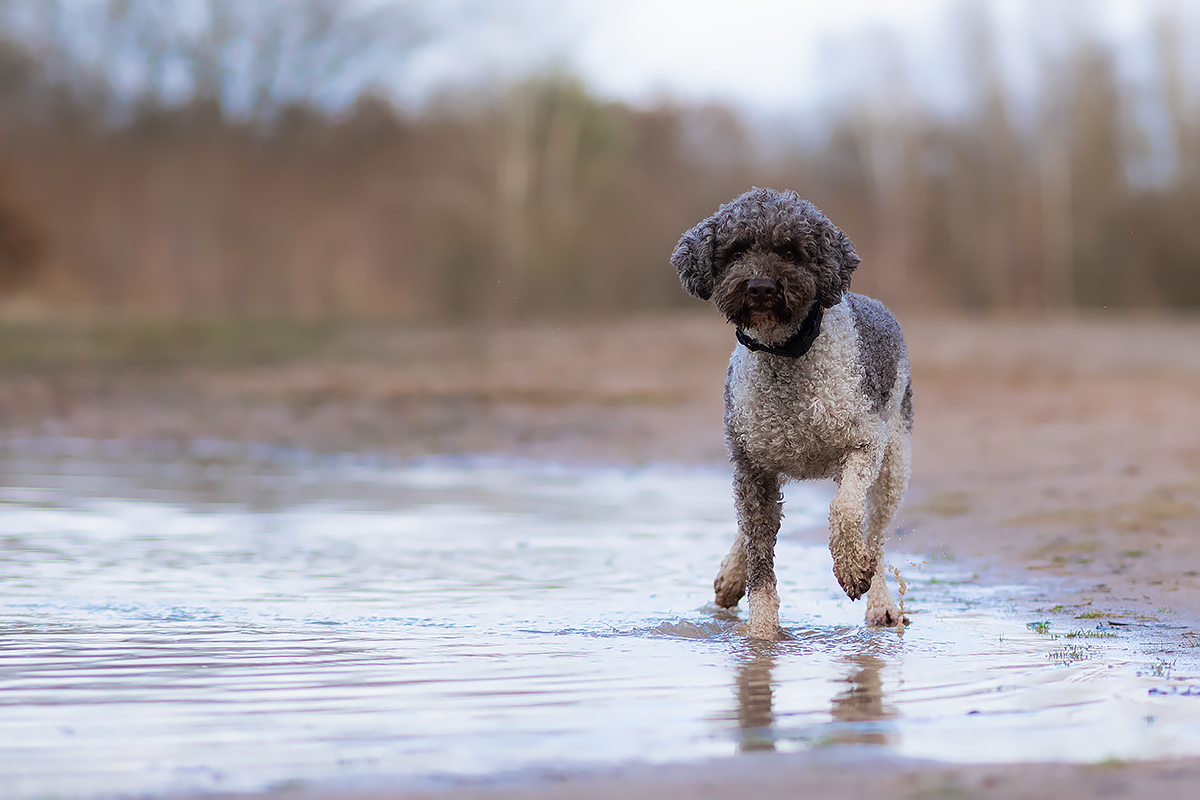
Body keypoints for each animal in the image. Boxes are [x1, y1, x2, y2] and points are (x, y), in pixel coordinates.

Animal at [672, 185, 912, 638]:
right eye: (736, 251)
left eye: (790, 251)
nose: (761, 287)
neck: (786, 353)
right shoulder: (753, 467)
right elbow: (759, 560)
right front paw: (762, 638)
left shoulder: (864, 445)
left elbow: (844, 510)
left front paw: (852, 569)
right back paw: (731, 575)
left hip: (893, 466)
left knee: (875, 533)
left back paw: (880, 601)